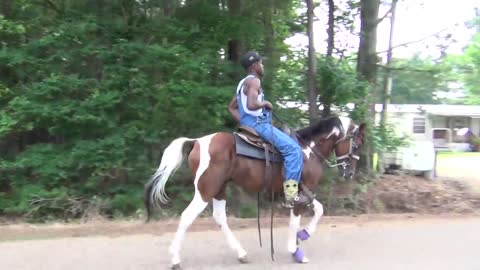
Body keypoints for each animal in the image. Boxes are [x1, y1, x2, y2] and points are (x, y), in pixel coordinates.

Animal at [144, 115, 366, 268]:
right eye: (357, 144)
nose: (349, 173)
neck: (308, 150)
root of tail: (197, 141)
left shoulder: (306, 192)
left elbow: (319, 210)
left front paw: (303, 235)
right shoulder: (299, 193)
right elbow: (297, 219)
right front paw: (295, 251)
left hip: (219, 189)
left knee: (219, 218)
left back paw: (241, 253)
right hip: (205, 191)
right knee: (187, 216)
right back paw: (175, 259)